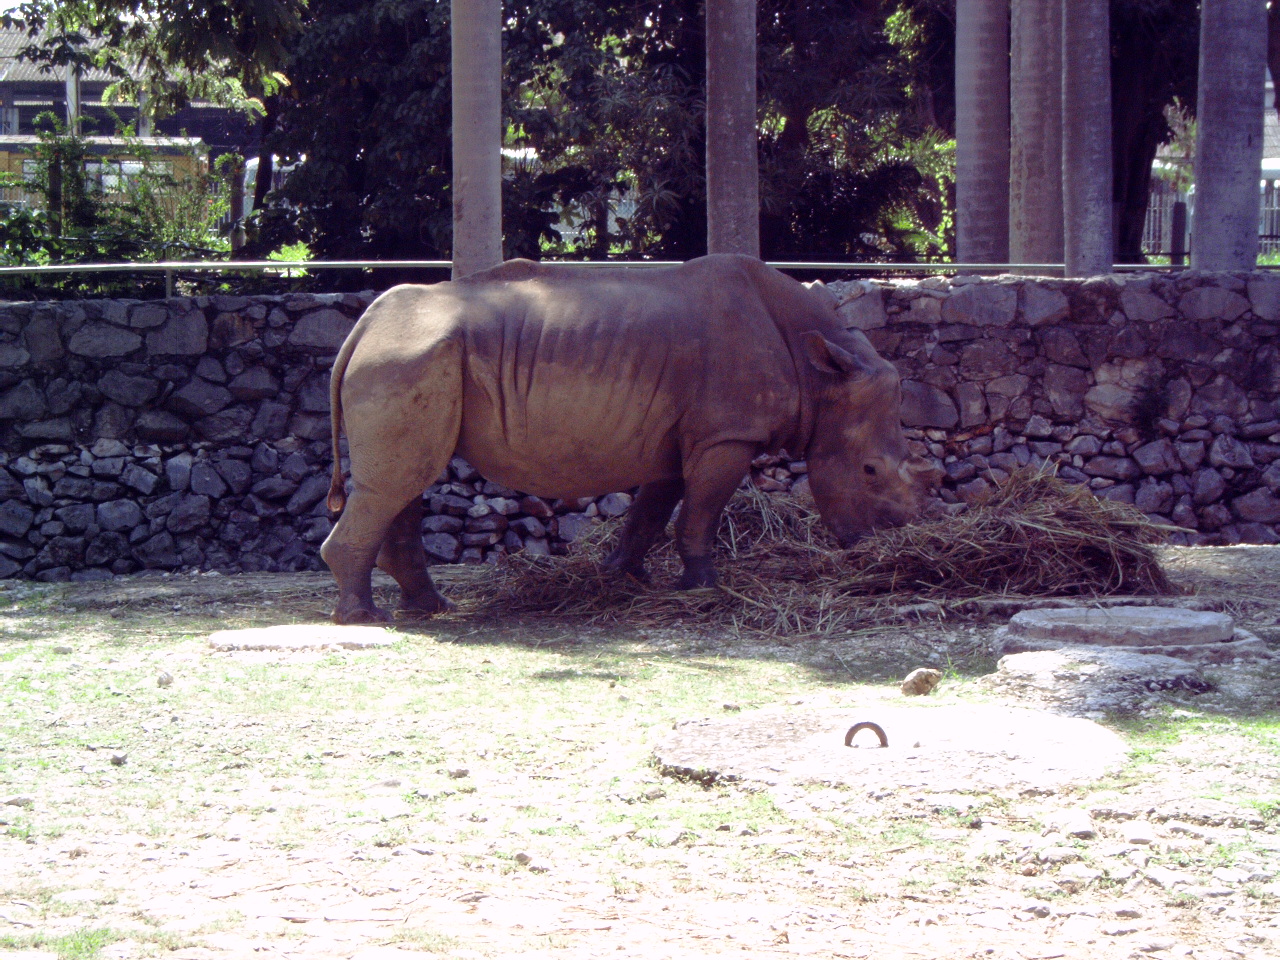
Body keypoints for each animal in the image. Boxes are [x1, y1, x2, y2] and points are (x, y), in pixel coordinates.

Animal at [321, 254, 939, 624]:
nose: (885, 547)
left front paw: (623, 576)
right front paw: (702, 589)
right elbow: (702, 511)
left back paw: (428, 608)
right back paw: (364, 619)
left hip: (411, 357)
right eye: (870, 472)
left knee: (402, 483)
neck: (822, 375)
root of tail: (363, 325)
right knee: (400, 482)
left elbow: (653, 509)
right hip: (408, 357)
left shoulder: (685, 437)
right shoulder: (726, 435)